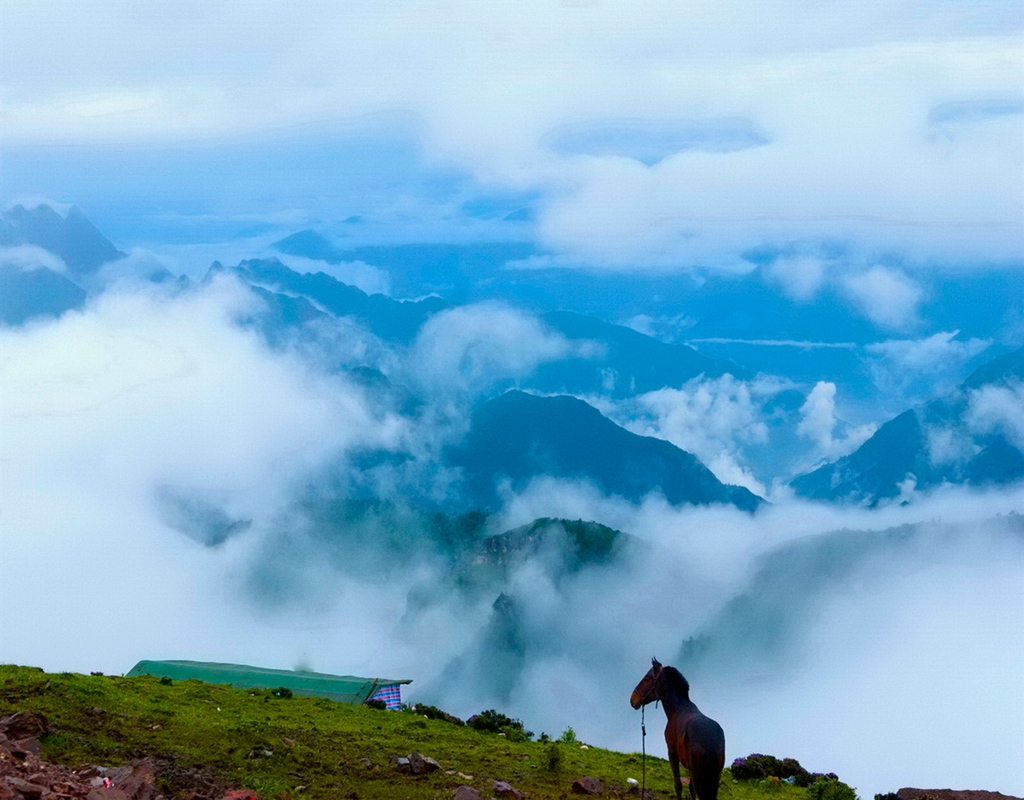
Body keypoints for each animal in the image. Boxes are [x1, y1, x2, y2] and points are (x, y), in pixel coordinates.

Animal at [626, 655, 724, 798]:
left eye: (647, 678)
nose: (632, 699)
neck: (677, 708)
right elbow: (690, 789)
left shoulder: (672, 753)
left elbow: (678, 785)